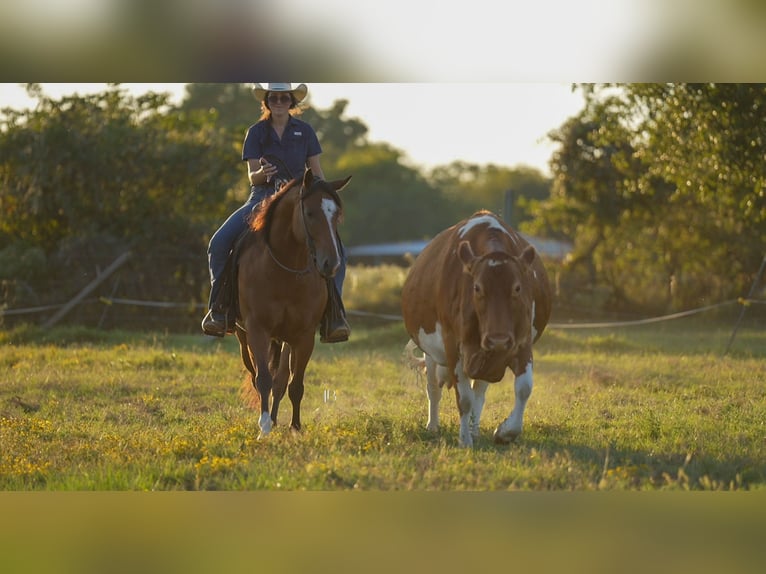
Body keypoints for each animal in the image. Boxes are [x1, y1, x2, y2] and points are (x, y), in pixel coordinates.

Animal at [235, 168, 351, 439]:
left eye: (337, 216)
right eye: (309, 213)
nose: (331, 264)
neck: (285, 269)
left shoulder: (304, 335)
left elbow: (294, 383)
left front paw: (295, 427)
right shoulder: (257, 330)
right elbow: (263, 379)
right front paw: (264, 428)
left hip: (285, 338)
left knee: (280, 379)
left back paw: (277, 418)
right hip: (243, 335)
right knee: (256, 373)